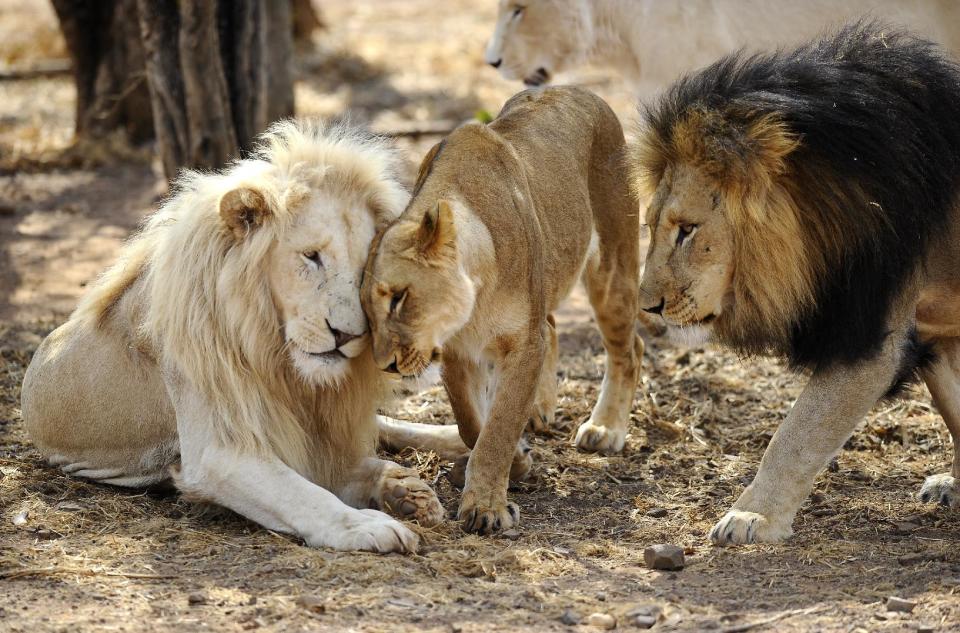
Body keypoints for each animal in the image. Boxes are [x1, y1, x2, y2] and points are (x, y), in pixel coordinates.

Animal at [20, 119, 458, 552]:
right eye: (311, 256)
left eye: (366, 267)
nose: (347, 334)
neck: (272, 347)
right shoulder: (217, 451)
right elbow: (303, 494)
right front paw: (369, 524)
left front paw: (399, 490)